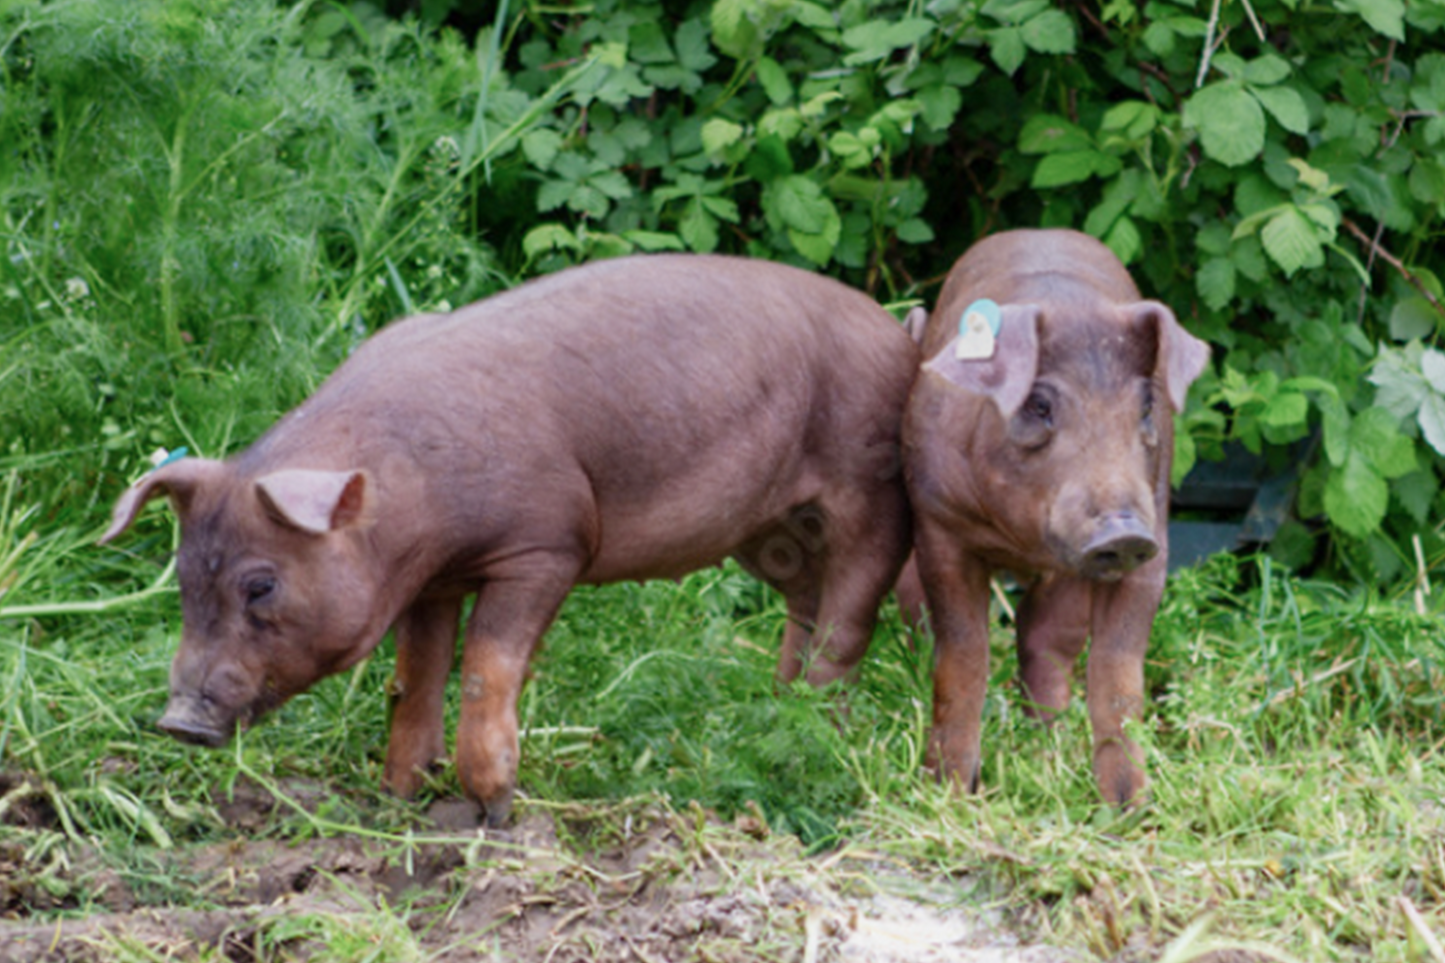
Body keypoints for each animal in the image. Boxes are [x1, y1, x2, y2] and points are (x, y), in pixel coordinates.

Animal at [98, 254, 913, 827]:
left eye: (261, 584)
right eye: (184, 578)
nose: (177, 720)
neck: (413, 509)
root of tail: (895, 331)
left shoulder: (546, 547)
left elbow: (489, 667)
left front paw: (493, 813)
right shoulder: (429, 582)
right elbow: (413, 678)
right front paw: (396, 798)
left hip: (867, 491)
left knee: (848, 622)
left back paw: (812, 732)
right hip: (770, 533)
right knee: (803, 607)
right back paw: (774, 713)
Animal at [901, 231, 1208, 803]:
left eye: (1146, 407)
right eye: (1039, 405)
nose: (1123, 531)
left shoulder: (1153, 544)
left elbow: (1117, 677)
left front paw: (1131, 807)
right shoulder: (939, 527)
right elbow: (963, 656)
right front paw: (949, 791)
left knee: (1043, 639)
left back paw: (1048, 744)